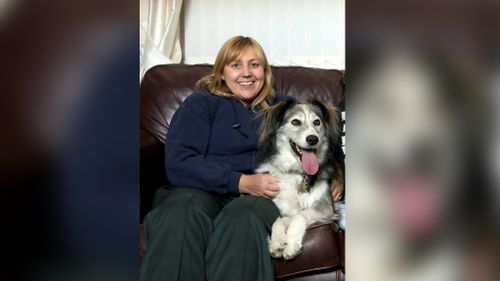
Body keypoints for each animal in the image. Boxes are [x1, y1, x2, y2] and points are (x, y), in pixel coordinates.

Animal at [258, 99, 344, 260]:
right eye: (295, 122)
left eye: (317, 122)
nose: (312, 139)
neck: (300, 173)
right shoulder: (289, 211)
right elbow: (279, 220)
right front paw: (277, 242)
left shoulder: (325, 208)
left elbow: (300, 215)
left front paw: (291, 244)